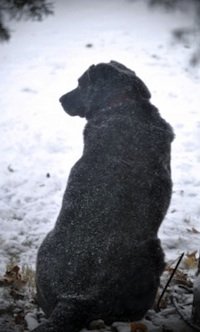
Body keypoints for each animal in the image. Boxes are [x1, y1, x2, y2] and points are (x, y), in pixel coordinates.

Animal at [32, 61, 173, 330]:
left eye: (80, 83)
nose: (60, 99)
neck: (122, 103)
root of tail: (76, 298)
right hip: (155, 254)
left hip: (45, 246)